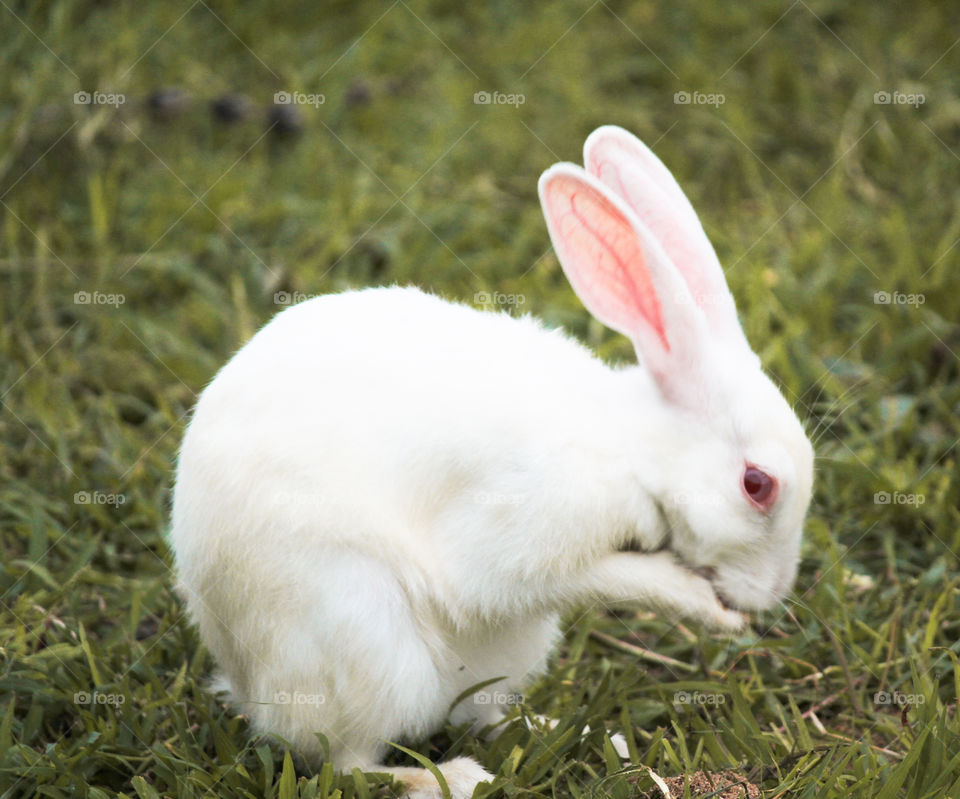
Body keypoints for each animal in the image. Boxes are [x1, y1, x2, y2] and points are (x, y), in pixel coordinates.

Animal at [169, 124, 814, 799]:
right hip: (365, 639)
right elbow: (608, 576)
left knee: (479, 713)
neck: (631, 448)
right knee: (346, 760)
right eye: (757, 485)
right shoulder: (516, 546)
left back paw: (580, 734)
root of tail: (247, 687)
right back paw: (452, 776)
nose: (773, 594)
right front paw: (712, 611)